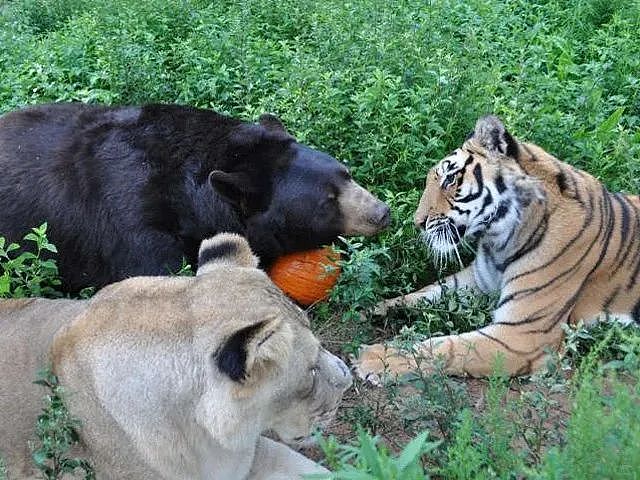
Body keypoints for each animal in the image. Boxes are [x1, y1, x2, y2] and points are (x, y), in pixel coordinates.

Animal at [354, 115, 640, 380]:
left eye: (450, 179)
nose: (418, 223)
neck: (498, 240)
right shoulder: (477, 280)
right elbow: (423, 293)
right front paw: (367, 309)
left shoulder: (523, 334)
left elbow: (447, 347)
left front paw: (375, 358)